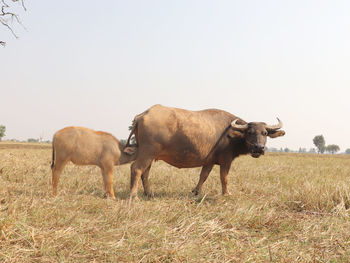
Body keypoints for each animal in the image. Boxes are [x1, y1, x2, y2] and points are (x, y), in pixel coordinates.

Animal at [125, 105, 284, 198]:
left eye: (264, 133)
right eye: (250, 132)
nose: (259, 148)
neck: (232, 134)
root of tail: (143, 115)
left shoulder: (209, 161)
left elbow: (203, 176)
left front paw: (196, 192)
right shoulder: (226, 160)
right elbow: (224, 177)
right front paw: (226, 193)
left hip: (150, 155)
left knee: (145, 172)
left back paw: (149, 193)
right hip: (147, 152)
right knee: (136, 168)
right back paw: (133, 195)